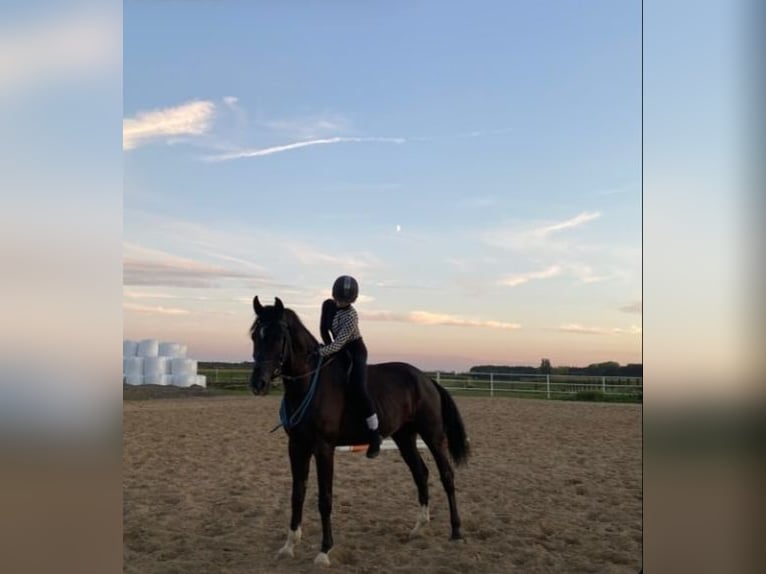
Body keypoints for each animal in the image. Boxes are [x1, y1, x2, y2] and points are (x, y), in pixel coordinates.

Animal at [248, 296, 470, 566]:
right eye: (255, 336)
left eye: (278, 336)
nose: (258, 384)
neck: (309, 384)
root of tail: (426, 380)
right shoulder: (297, 447)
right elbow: (297, 494)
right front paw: (289, 546)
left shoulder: (324, 448)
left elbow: (324, 498)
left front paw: (324, 551)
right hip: (404, 437)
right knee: (421, 474)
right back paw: (418, 529)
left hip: (433, 435)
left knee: (447, 476)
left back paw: (456, 531)